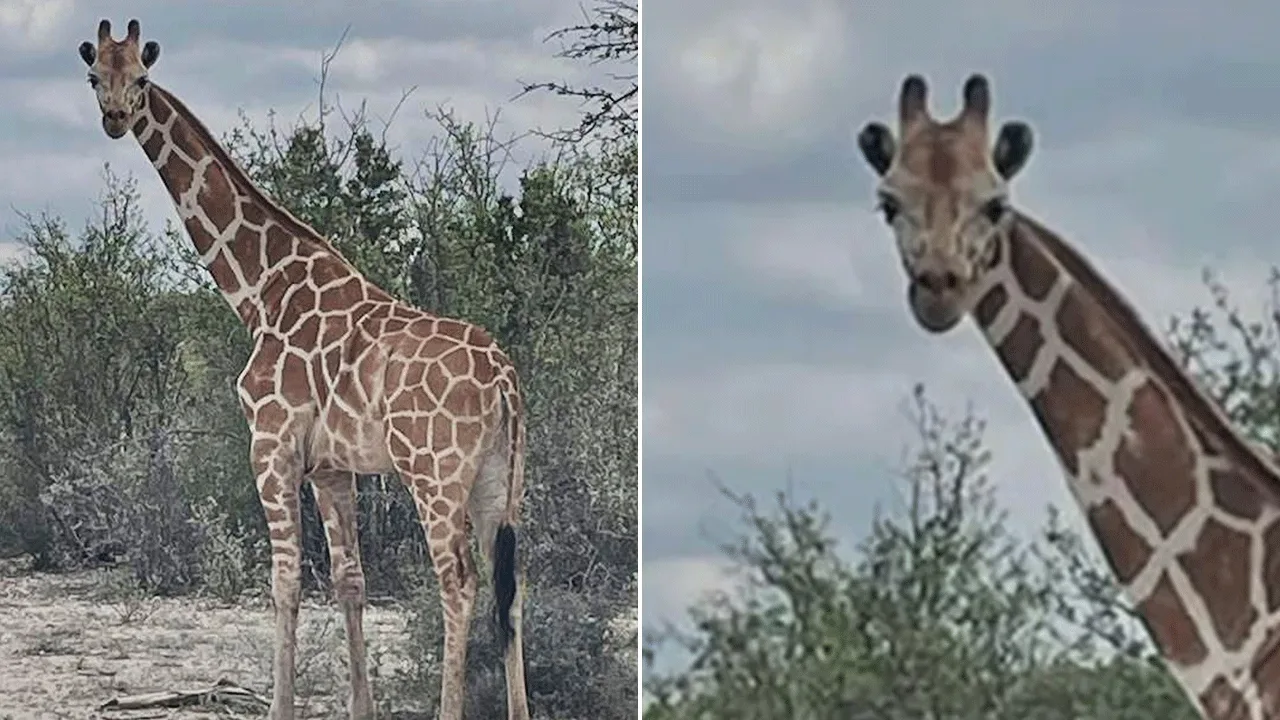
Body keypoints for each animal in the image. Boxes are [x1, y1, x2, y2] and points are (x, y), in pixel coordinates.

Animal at [77, 19, 530, 720]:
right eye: (95, 74)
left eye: (143, 79)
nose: (115, 118)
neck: (260, 291)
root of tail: (506, 381)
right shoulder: (332, 467)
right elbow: (349, 581)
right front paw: (360, 708)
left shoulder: (271, 443)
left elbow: (285, 580)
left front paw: (280, 706)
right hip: (498, 480)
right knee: (513, 587)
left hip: (435, 474)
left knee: (459, 582)